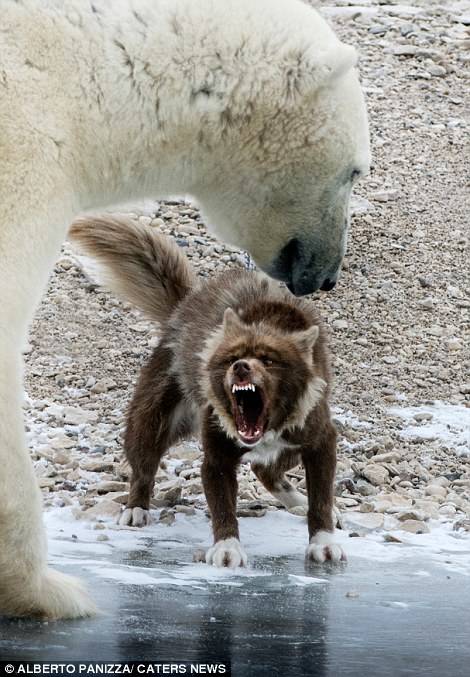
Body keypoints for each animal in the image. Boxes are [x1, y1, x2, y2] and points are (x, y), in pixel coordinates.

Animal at [70, 217, 346, 564]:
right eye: (230, 357)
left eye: (269, 359)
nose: (240, 367)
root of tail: (183, 308)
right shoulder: (218, 452)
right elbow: (222, 504)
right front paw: (227, 548)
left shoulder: (319, 438)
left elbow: (321, 497)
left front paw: (323, 540)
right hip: (154, 418)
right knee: (144, 465)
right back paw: (136, 508)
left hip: (291, 445)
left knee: (264, 467)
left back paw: (298, 502)